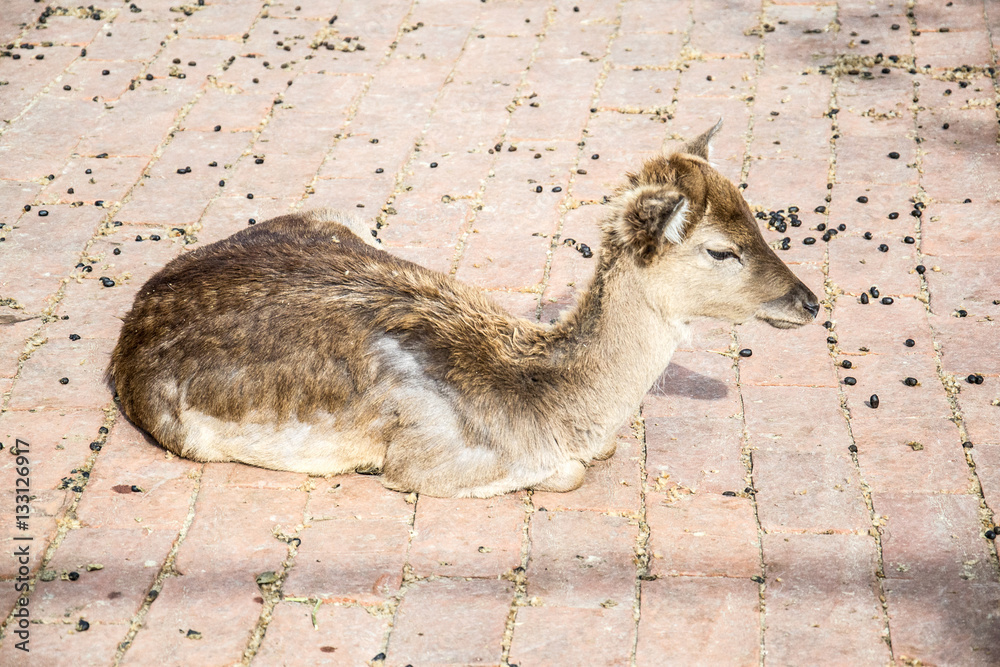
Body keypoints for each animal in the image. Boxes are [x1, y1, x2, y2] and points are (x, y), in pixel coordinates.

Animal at [108, 122, 819, 498]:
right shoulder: (424, 459)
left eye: (759, 216)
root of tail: (136, 311)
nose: (809, 301)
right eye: (722, 249)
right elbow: (565, 473)